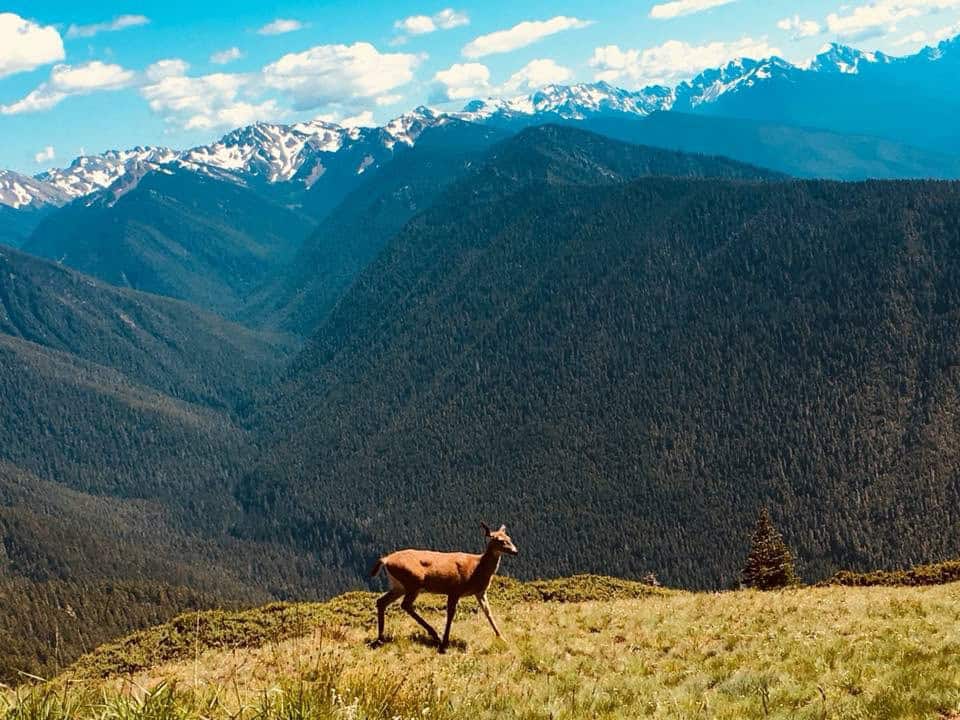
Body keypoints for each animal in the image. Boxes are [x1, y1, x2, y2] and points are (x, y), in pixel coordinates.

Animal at [370, 522, 519, 653]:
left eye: (509, 538)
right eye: (499, 540)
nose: (515, 551)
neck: (477, 568)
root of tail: (386, 559)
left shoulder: (480, 592)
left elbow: (488, 612)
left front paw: (502, 638)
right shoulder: (455, 589)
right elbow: (450, 614)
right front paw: (445, 643)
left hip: (399, 586)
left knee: (382, 601)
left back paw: (380, 638)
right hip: (413, 582)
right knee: (405, 604)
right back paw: (435, 635)